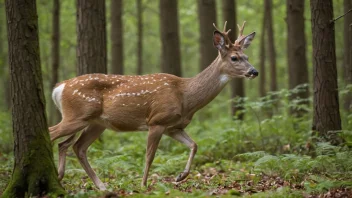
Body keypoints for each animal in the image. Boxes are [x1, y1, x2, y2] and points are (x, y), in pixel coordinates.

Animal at [49, 21, 258, 190]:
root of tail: (59, 87)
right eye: (234, 58)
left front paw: (180, 176)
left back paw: (96, 185)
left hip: (96, 123)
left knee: (76, 147)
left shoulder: (173, 127)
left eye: (247, 57)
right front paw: (143, 185)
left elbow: (194, 145)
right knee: (53, 134)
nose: (254, 71)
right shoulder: (157, 120)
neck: (185, 96)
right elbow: (149, 156)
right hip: (76, 115)